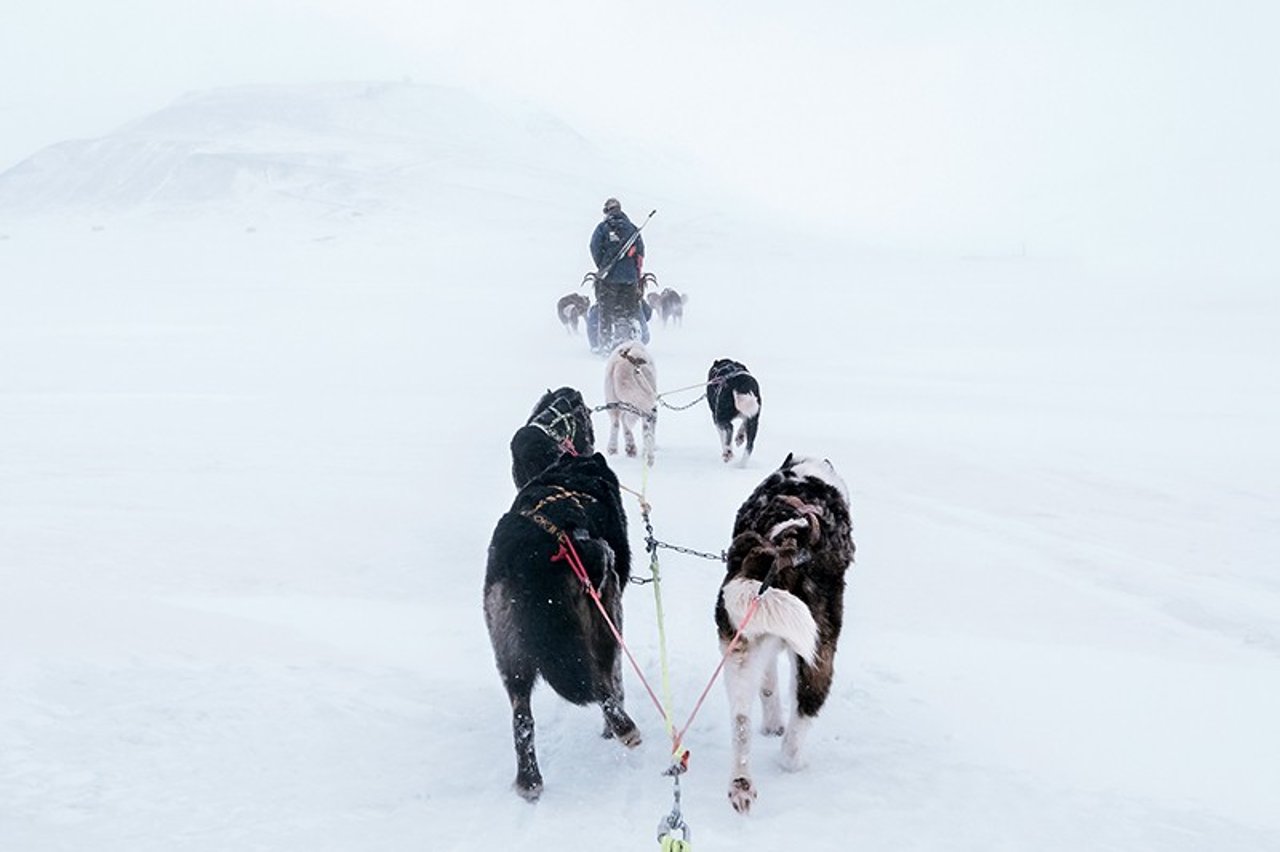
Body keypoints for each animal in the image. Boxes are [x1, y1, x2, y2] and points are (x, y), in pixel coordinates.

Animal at [481, 447, 640, 798]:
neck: (573, 476)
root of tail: (532, 558)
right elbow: (616, 679)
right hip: (604, 617)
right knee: (602, 684)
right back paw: (624, 727)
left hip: (509, 652)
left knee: (522, 719)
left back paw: (529, 781)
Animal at [716, 450, 855, 808]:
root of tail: (786, 542)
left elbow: (767, 688)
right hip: (820, 651)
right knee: (802, 716)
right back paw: (793, 759)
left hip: (738, 652)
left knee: (740, 722)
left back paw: (741, 784)